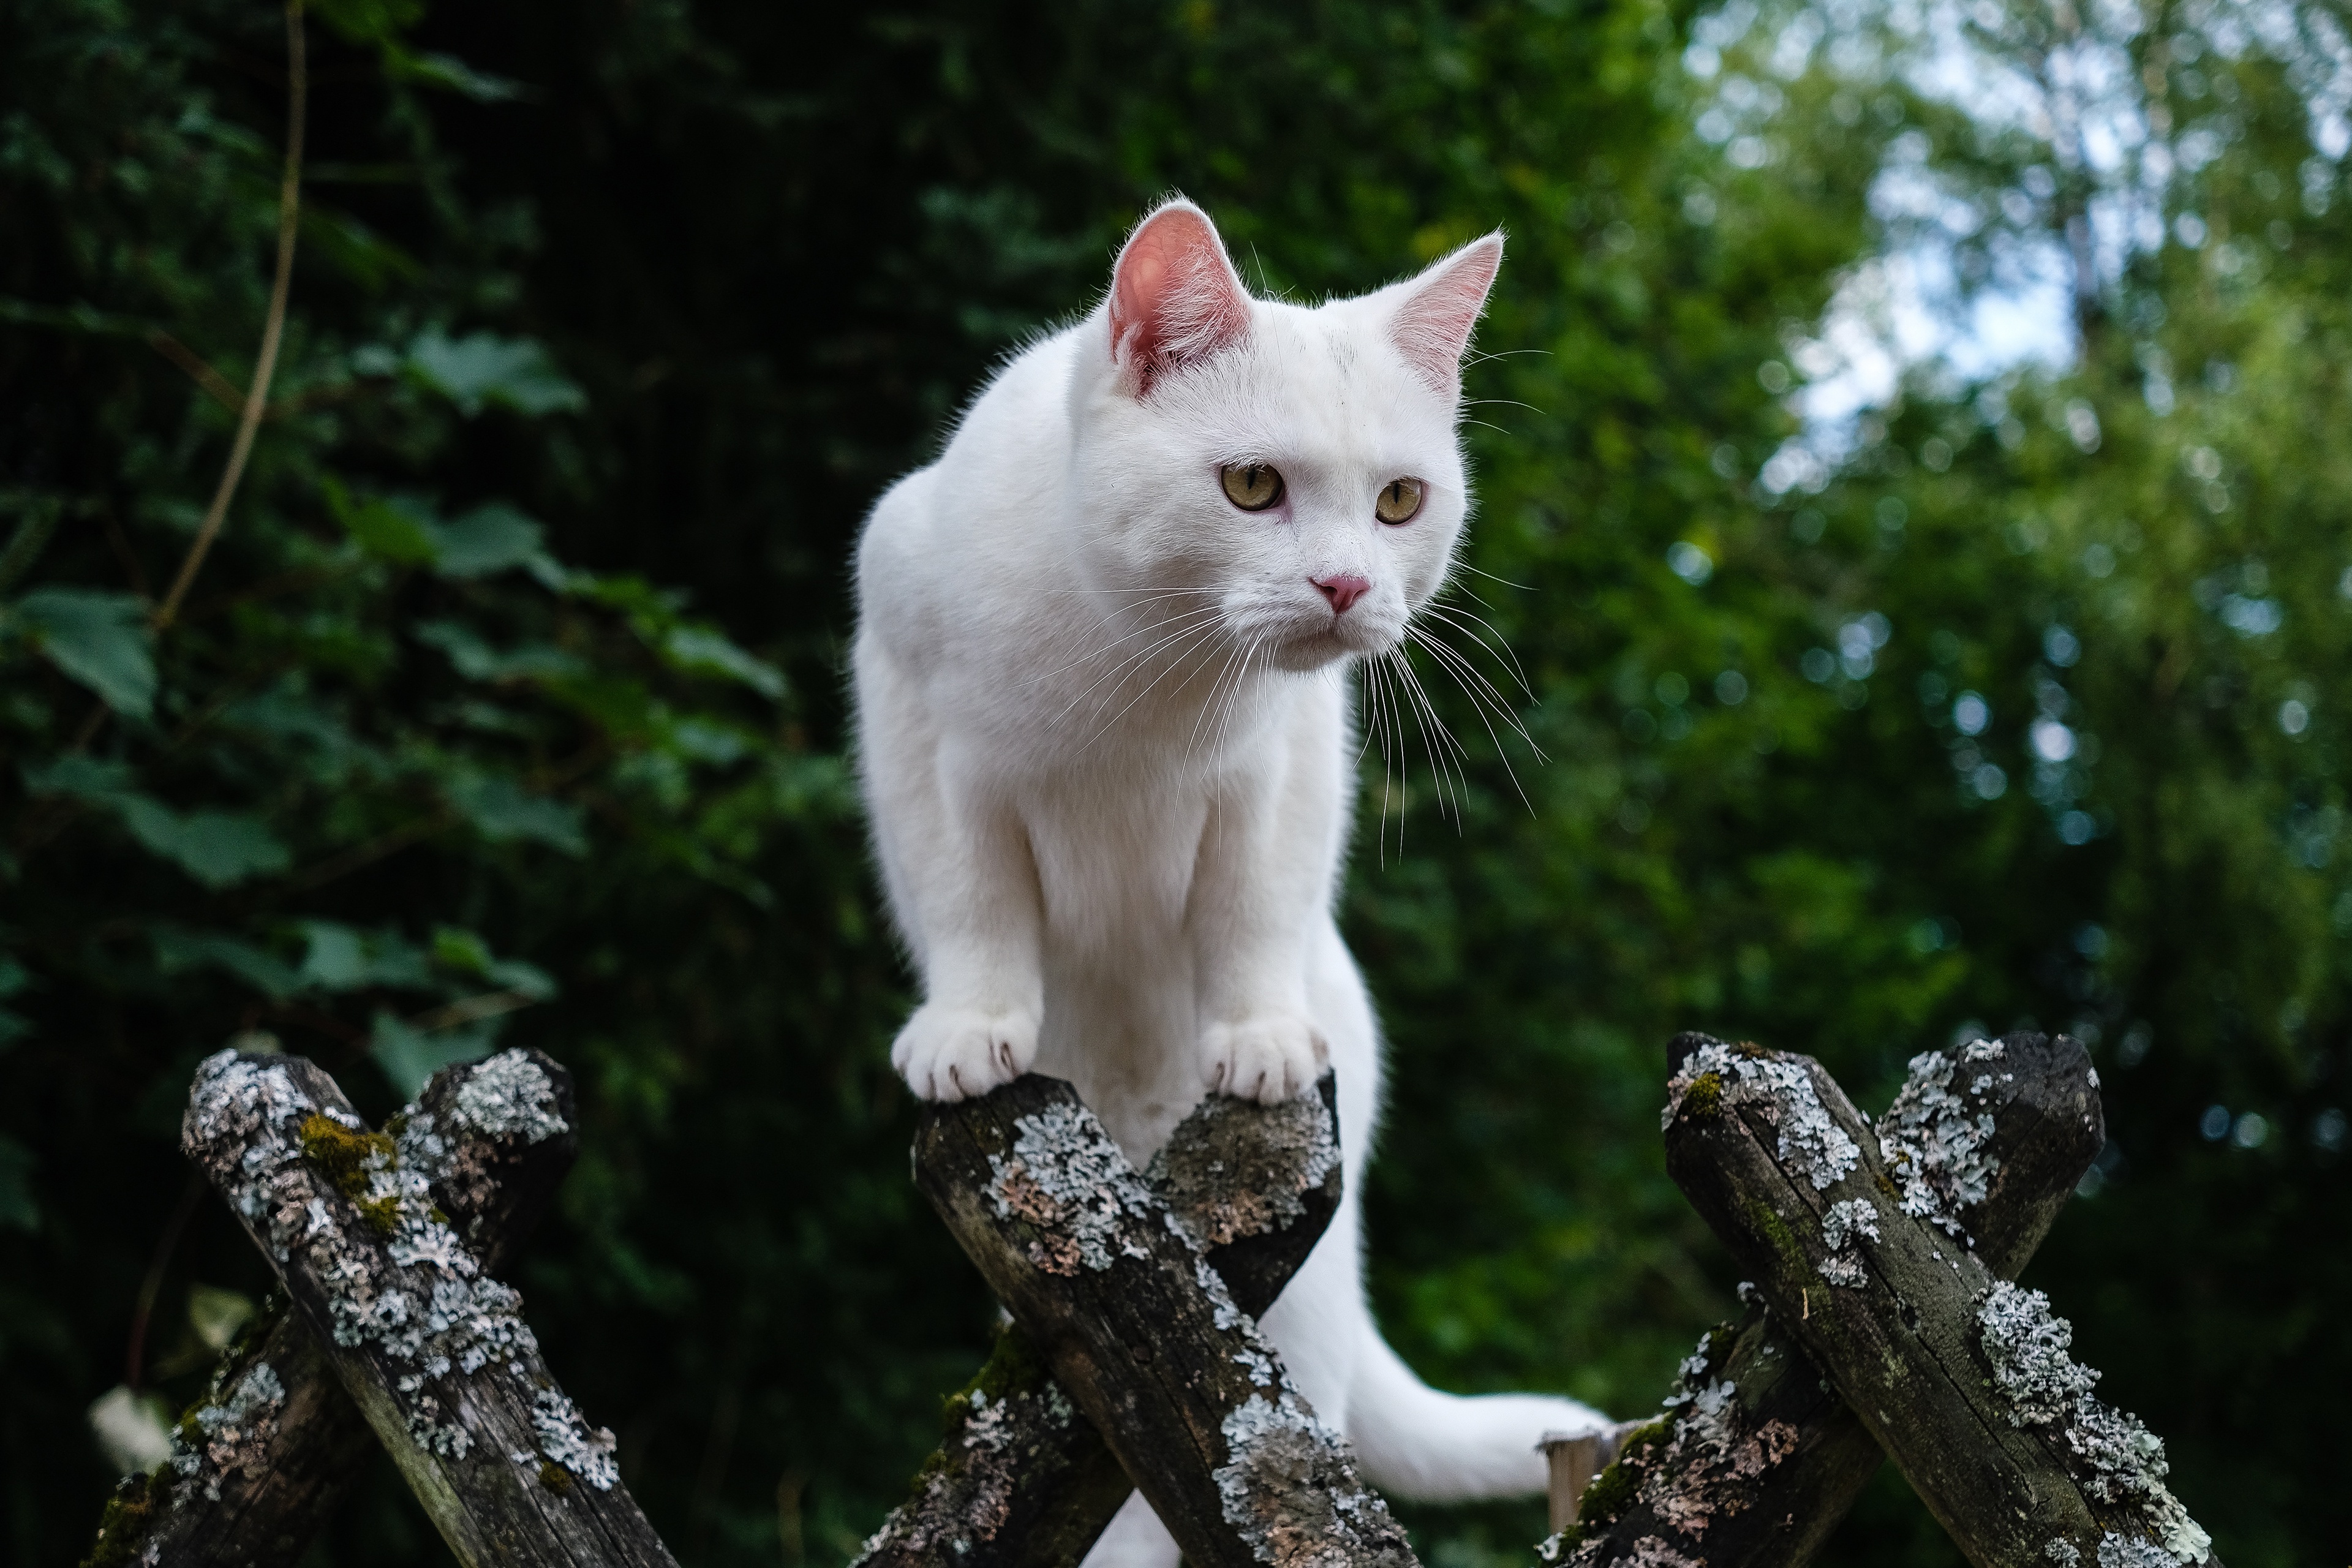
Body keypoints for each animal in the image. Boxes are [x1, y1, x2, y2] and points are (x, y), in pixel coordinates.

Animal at [856, 202, 1608, 1561]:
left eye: (1399, 501)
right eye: (1253, 486)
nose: (1348, 585)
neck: (1141, 676)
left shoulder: (1283, 768)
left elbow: (1252, 908)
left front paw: (1256, 1037)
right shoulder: (919, 726)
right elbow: (968, 898)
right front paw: (971, 1028)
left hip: (1285, 1321)